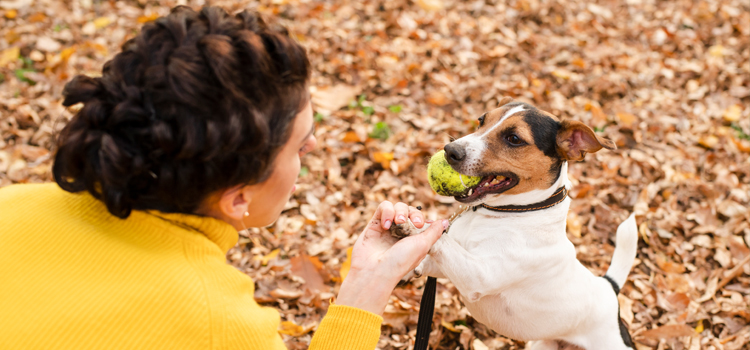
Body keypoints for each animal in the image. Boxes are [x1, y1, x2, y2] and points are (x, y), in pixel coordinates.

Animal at [412, 98, 640, 350]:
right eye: (481, 121)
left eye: (514, 138)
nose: (450, 150)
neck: (515, 211)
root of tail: (609, 288)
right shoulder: (448, 267)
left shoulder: (479, 276)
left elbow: (441, 240)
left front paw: (413, 225)